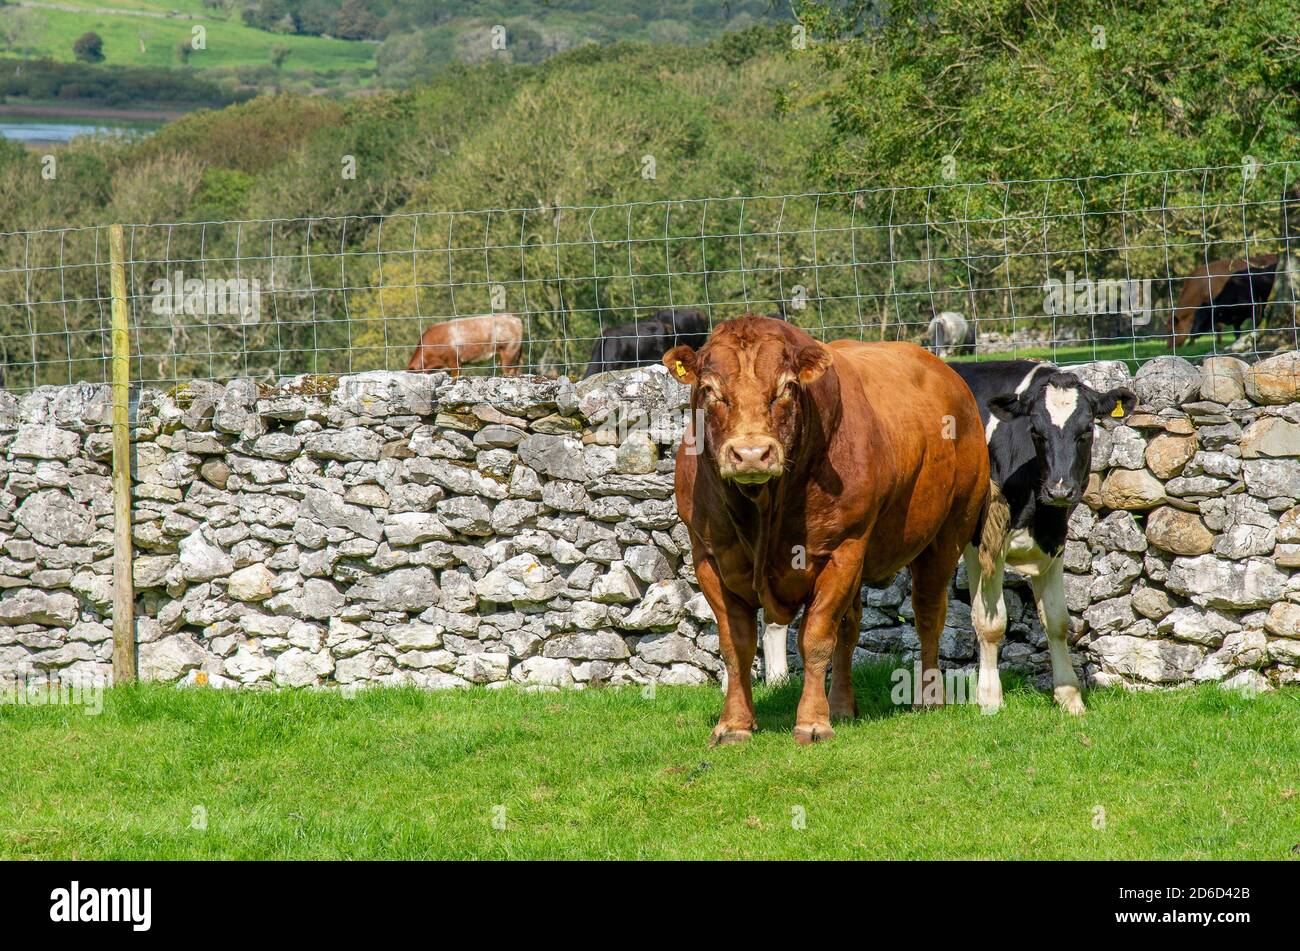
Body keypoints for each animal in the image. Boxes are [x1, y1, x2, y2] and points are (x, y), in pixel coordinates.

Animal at [665, 315, 987, 748]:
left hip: (946, 534)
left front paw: (812, 722)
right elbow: (736, 645)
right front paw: (734, 724)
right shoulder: (709, 558)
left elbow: (816, 638)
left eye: (786, 387)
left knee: (928, 615)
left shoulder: (842, 549)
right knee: (851, 628)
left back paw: (928, 697)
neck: (763, 511)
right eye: (710, 389)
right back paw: (843, 705)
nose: (751, 454)